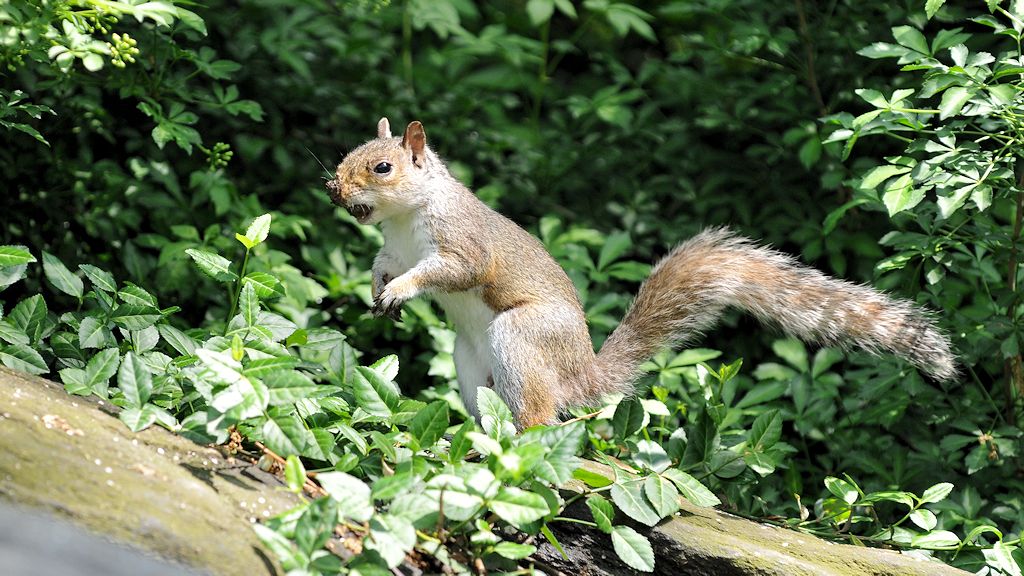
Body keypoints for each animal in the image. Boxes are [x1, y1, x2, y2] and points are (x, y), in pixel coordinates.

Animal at [327, 118, 957, 429]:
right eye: (347, 154)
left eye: (381, 167)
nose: (333, 189)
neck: (404, 219)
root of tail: (583, 377)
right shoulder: (393, 249)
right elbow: (382, 266)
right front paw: (378, 290)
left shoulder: (462, 246)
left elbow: (451, 271)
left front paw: (403, 291)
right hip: (468, 364)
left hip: (523, 338)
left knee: (541, 417)